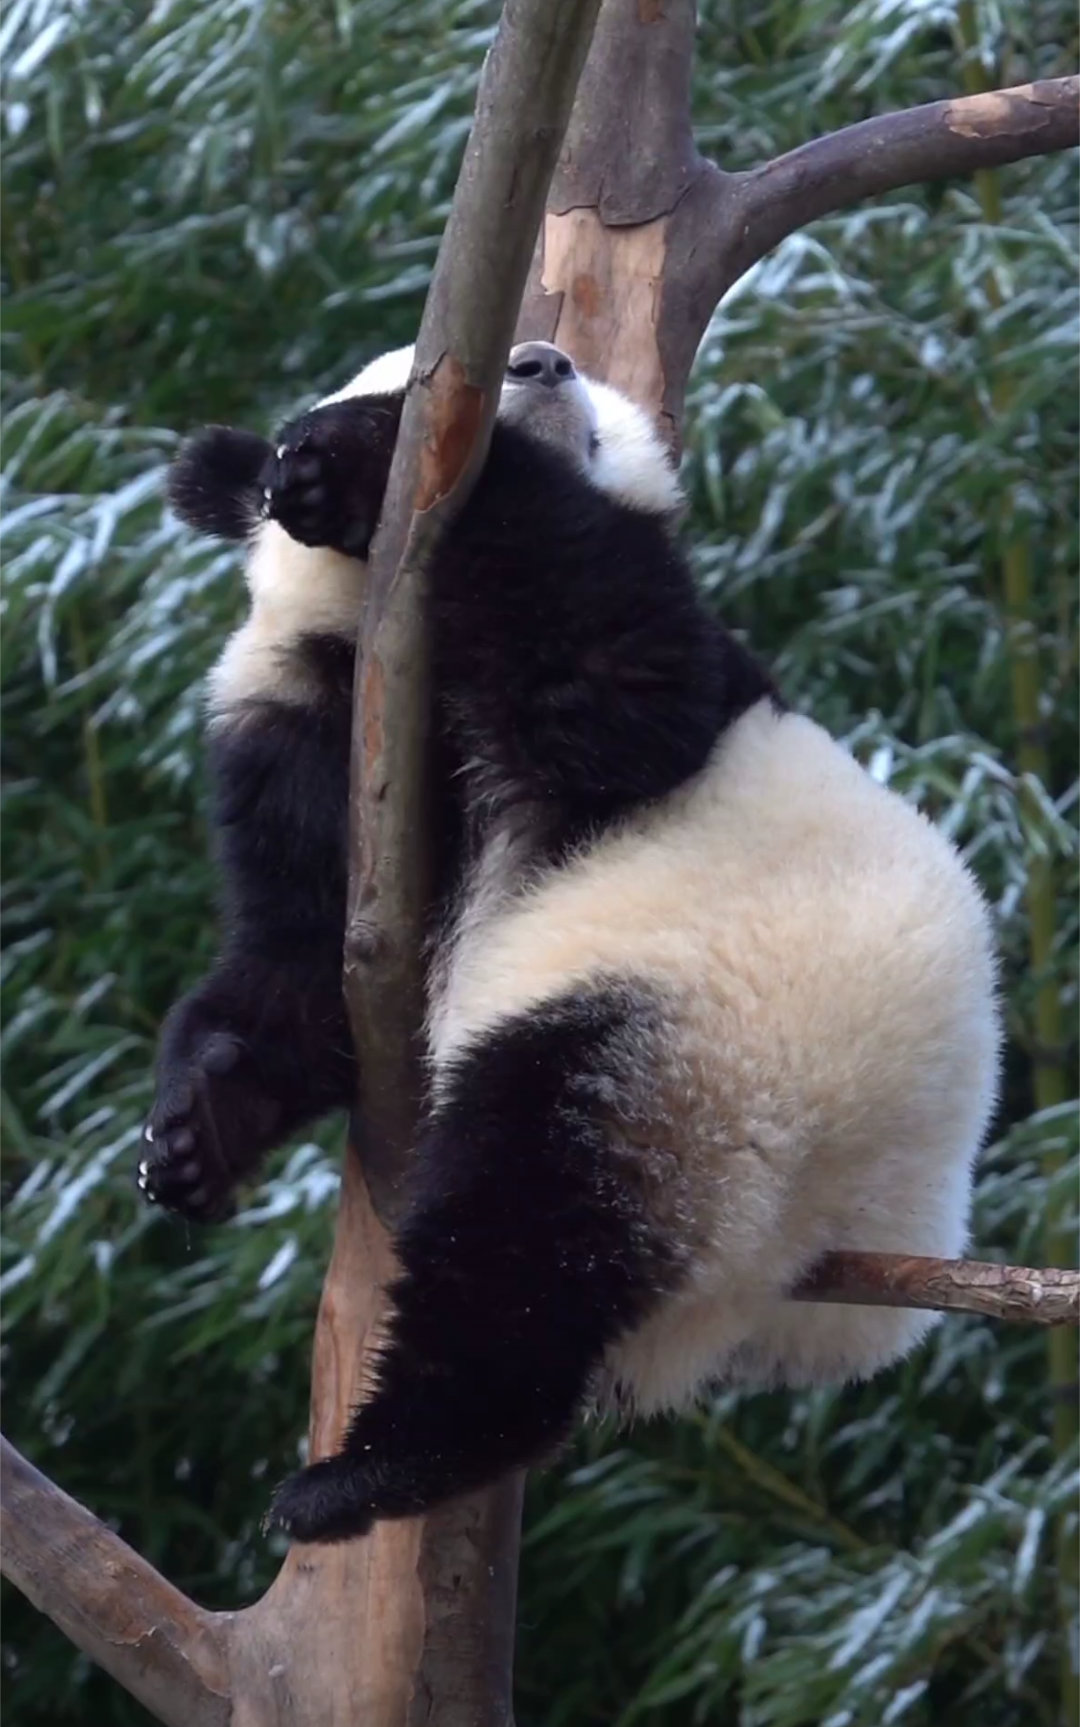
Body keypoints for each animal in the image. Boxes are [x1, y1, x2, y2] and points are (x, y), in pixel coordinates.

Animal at [139, 336, 995, 1540]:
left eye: (592, 411)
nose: (541, 359)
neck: (389, 643)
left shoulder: (655, 664)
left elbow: (609, 682)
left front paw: (360, 468)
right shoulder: (301, 720)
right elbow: (301, 970)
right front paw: (192, 1130)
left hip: (692, 1045)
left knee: (521, 1223)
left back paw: (375, 1467)